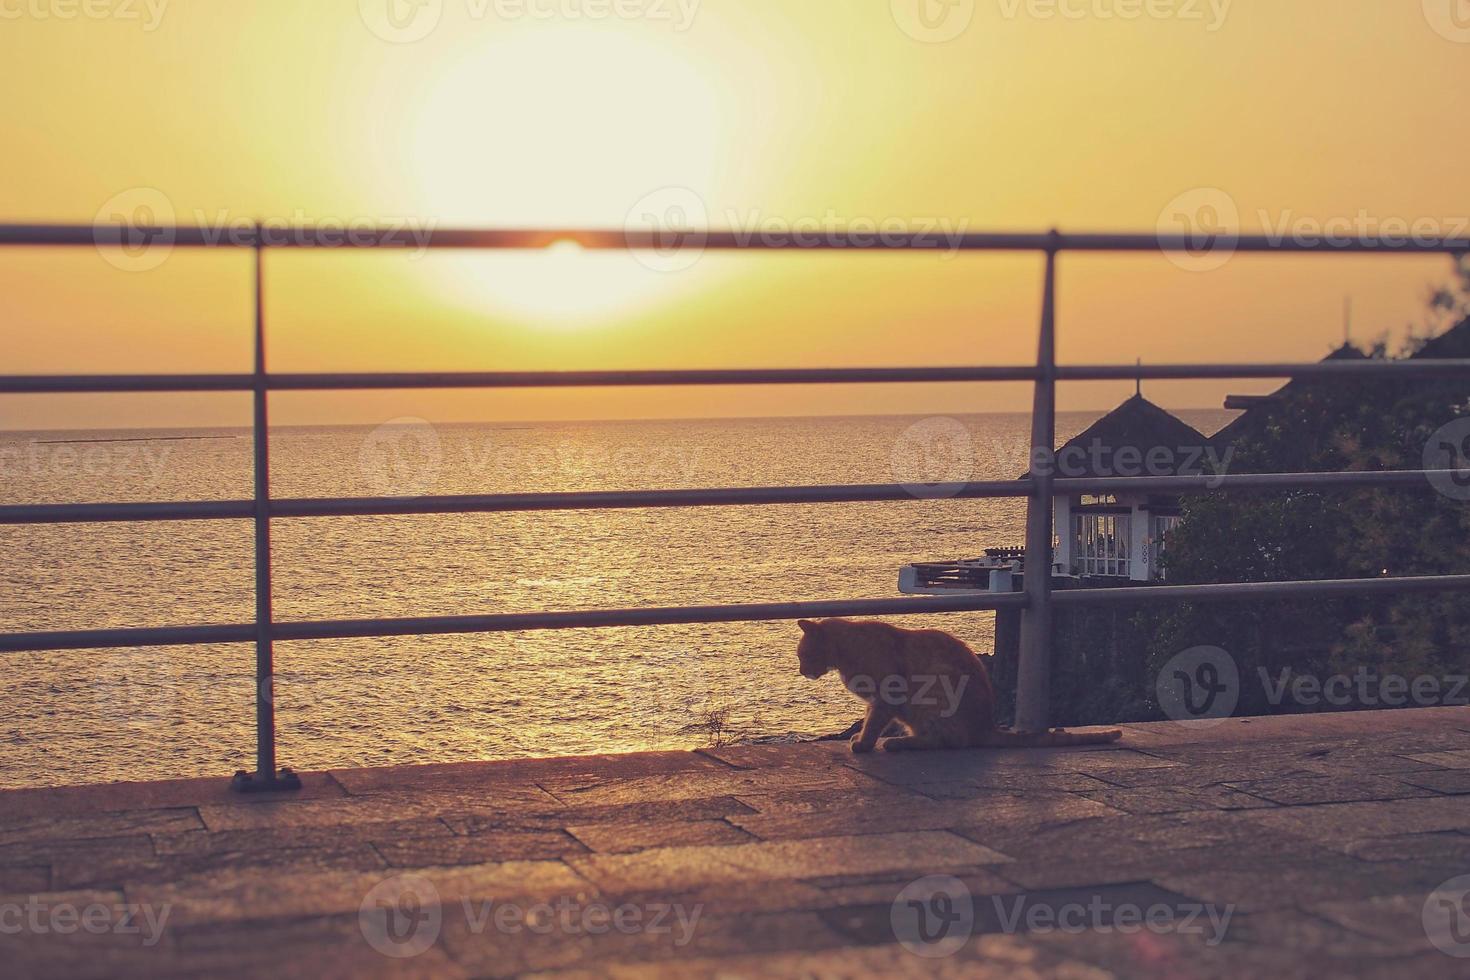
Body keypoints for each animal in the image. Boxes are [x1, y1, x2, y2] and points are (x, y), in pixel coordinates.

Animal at [799, 620, 1117, 752]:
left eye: (802, 655)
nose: (801, 671)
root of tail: (987, 726)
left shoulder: (887, 695)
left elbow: (874, 722)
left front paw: (864, 743)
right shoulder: (877, 701)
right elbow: (869, 718)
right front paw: (861, 737)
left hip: (935, 691)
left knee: (949, 741)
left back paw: (900, 743)